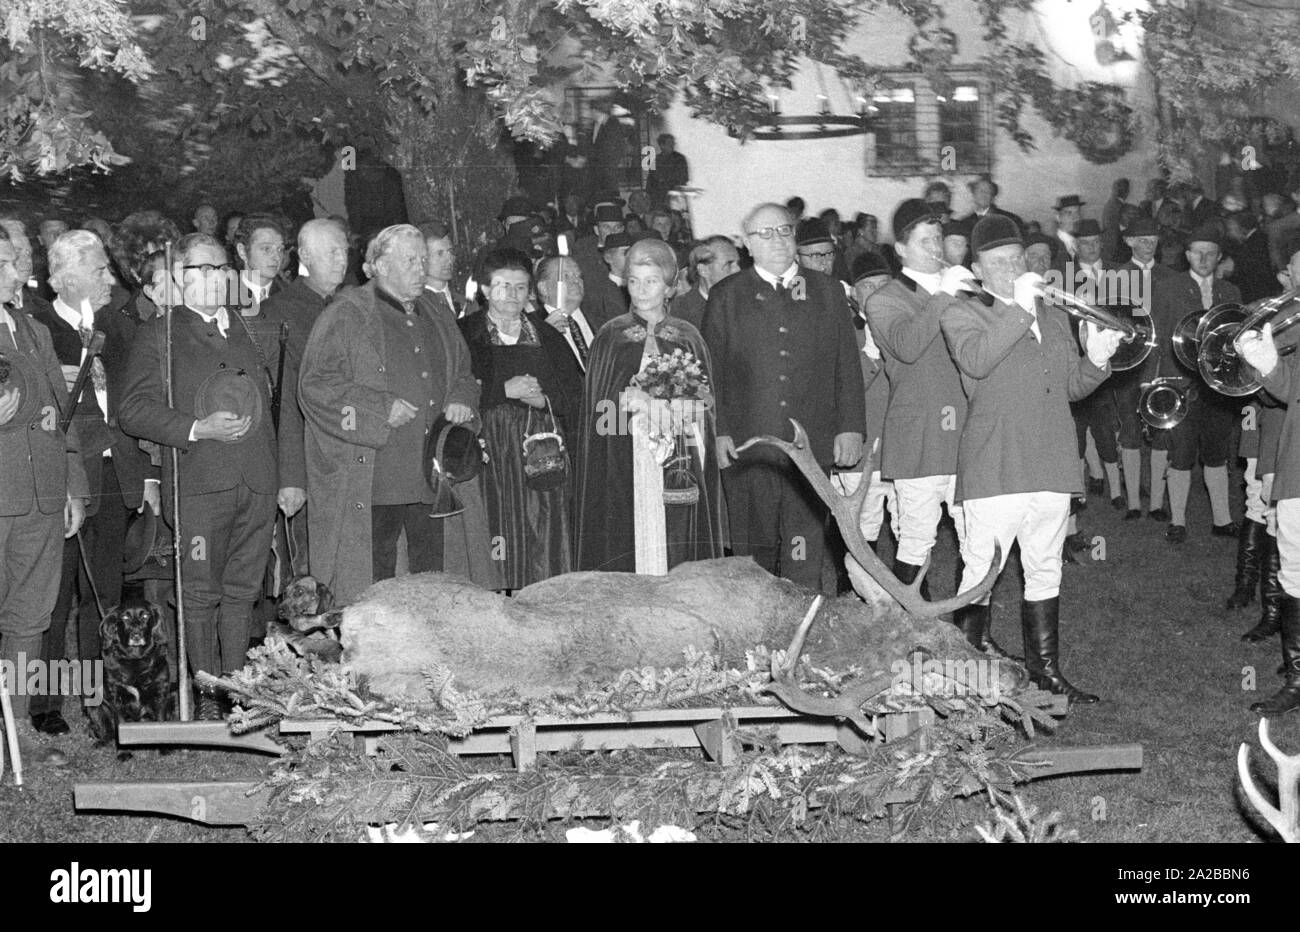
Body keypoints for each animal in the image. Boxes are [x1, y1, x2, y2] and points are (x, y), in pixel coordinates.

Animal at [89, 584, 170, 759]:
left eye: (145, 615)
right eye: (125, 618)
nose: (136, 635)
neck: (135, 660)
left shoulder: (161, 693)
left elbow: (161, 720)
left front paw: (164, 748)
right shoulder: (116, 697)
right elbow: (120, 724)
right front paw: (124, 752)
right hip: (94, 706)